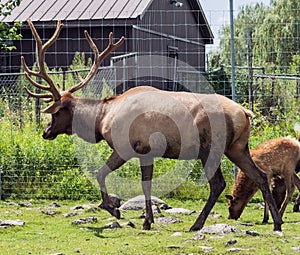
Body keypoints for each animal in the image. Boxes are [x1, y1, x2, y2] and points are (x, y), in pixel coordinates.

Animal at [20, 18, 282, 231]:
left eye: (55, 114)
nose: (45, 132)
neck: (103, 119)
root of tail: (245, 113)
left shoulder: (129, 147)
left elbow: (101, 173)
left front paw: (115, 208)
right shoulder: (148, 153)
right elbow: (146, 185)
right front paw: (147, 219)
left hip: (210, 148)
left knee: (218, 184)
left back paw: (197, 224)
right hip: (237, 148)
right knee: (260, 176)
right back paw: (276, 222)